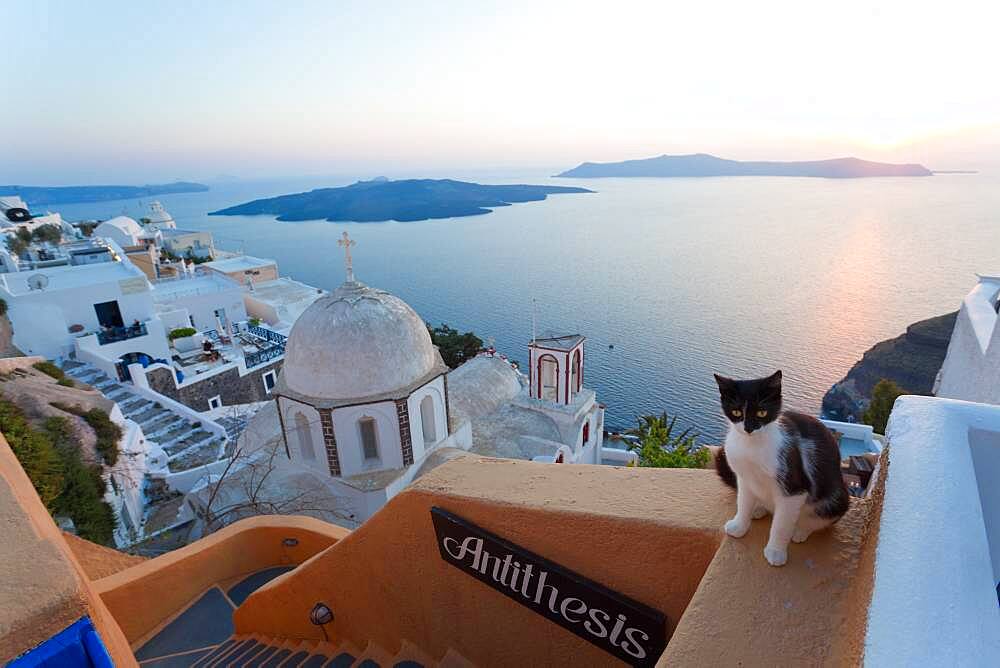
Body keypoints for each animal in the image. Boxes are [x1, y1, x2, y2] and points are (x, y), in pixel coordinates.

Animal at [716, 370, 848, 564]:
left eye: (762, 412)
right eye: (736, 412)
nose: (749, 428)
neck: (752, 445)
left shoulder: (794, 488)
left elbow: (781, 524)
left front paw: (776, 552)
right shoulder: (744, 477)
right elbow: (743, 501)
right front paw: (739, 526)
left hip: (836, 499)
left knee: (821, 517)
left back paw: (801, 531)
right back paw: (758, 508)